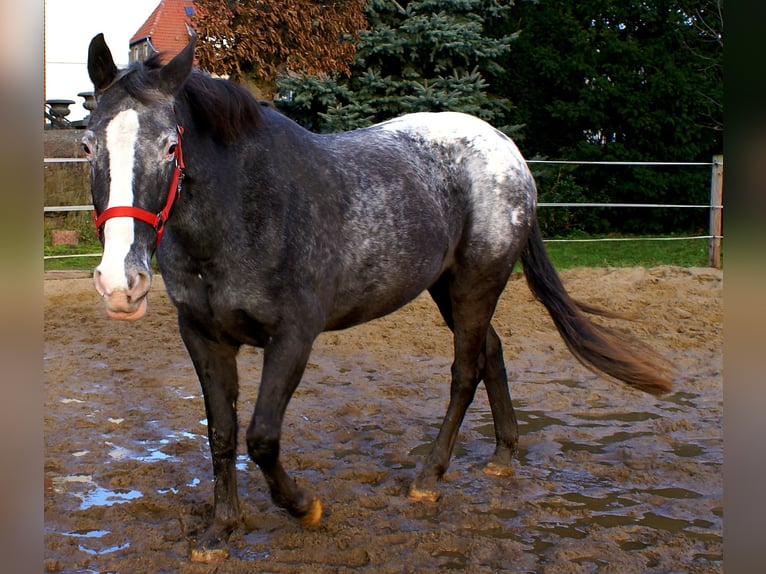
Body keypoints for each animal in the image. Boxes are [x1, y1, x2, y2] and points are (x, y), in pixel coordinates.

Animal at [82, 33, 672, 564]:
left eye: (171, 146)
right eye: (88, 146)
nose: (120, 282)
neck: (244, 210)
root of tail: (508, 153)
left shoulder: (293, 337)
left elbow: (262, 437)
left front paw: (306, 508)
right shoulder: (203, 337)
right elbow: (222, 435)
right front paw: (220, 531)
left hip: (478, 283)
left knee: (465, 372)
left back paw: (429, 477)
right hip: (447, 287)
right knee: (491, 353)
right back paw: (504, 454)